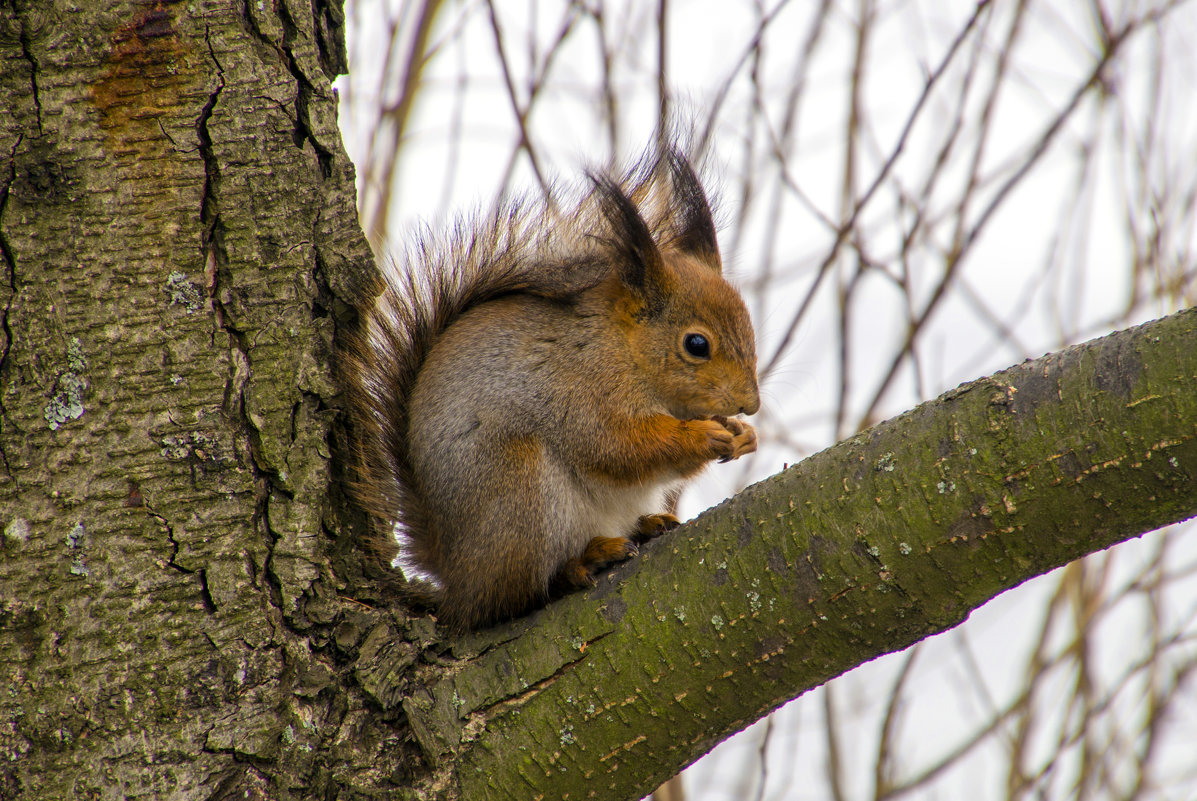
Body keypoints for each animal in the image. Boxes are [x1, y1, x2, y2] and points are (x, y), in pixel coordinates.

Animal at [342, 145, 761, 632]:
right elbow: (616, 447)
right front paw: (702, 434)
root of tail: (458, 577)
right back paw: (581, 563)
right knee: (519, 595)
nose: (751, 404)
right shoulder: (578, 391)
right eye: (696, 345)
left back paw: (646, 525)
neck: (625, 350)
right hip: (518, 494)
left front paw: (742, 435)